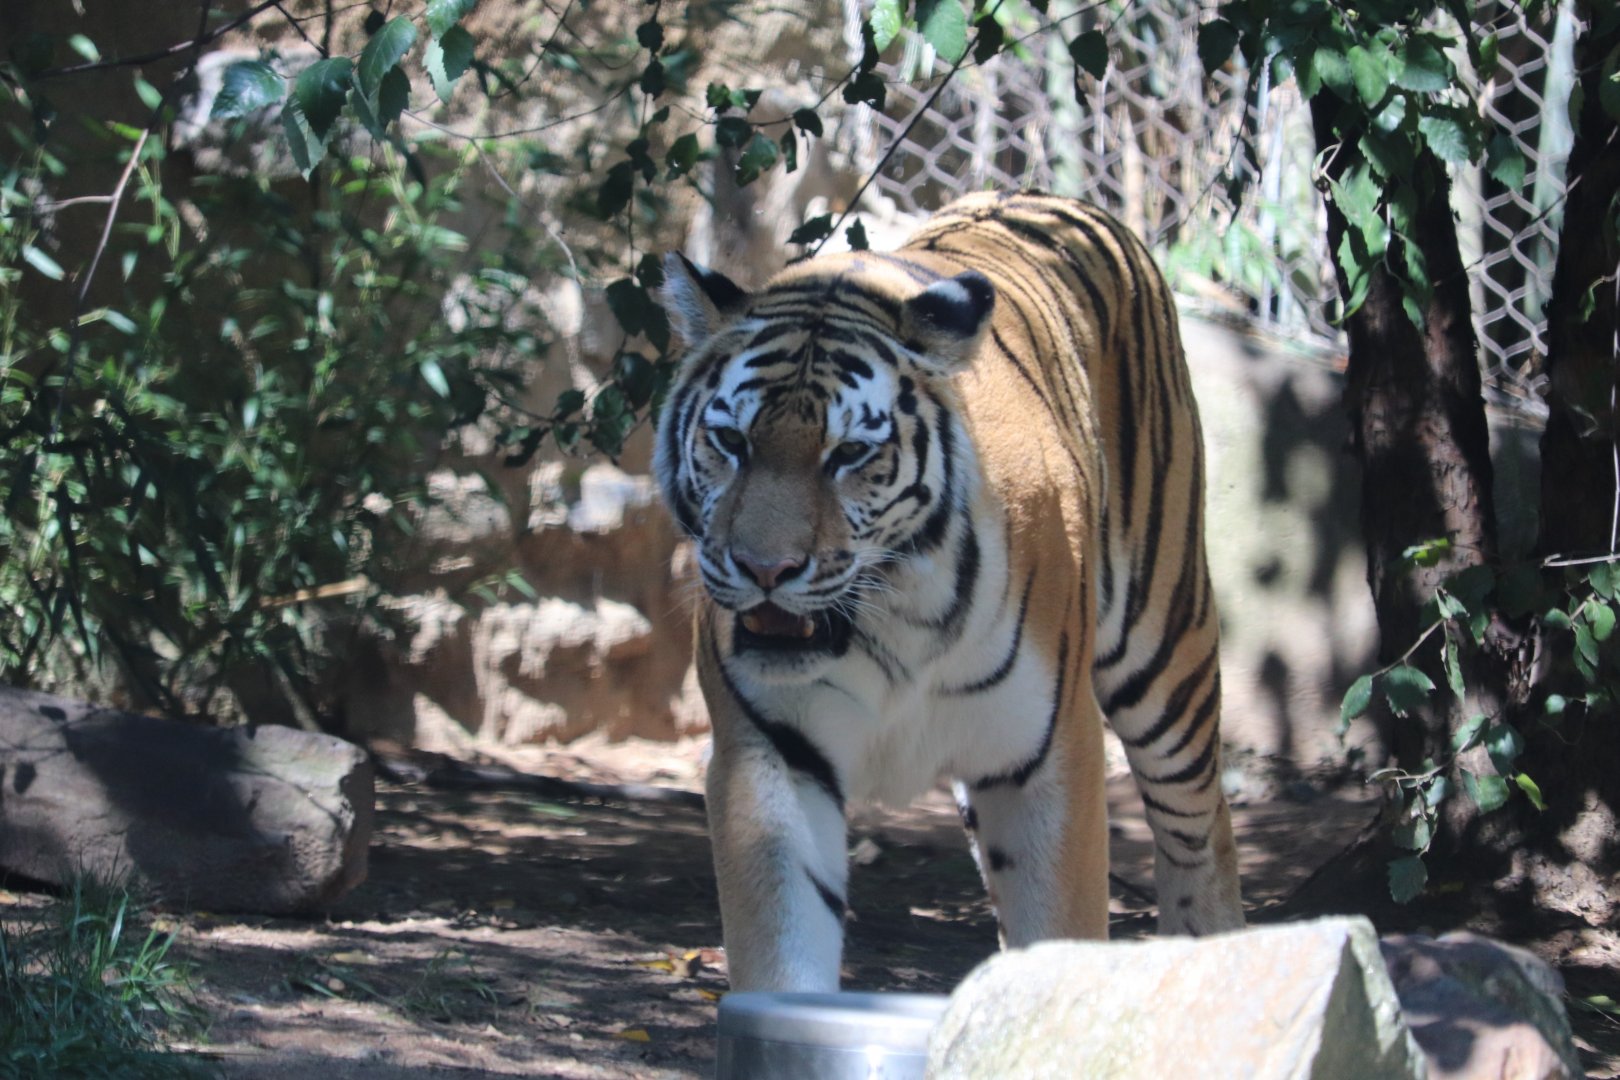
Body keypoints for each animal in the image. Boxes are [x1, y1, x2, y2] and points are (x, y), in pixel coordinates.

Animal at [654, 190, 1244, 992]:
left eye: (849, 454)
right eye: (731, 442)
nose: (764, 569)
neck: (887, 617)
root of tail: (1056, 201)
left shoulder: (1049, 753)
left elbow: (1060, 926)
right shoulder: (771, 753)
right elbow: (782, 951)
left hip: (1165, 653)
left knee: (1201, 829)